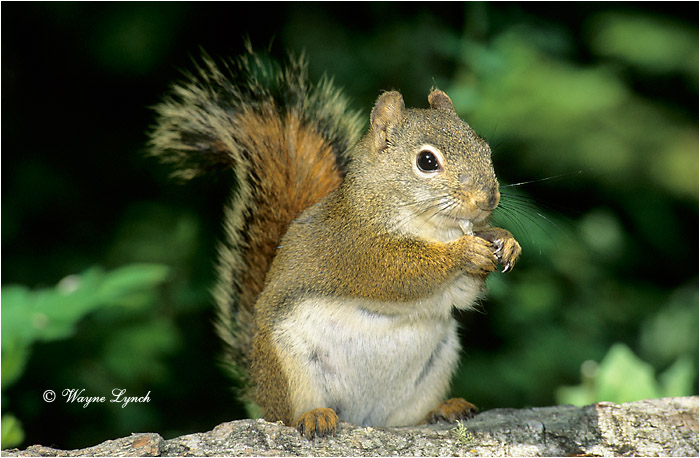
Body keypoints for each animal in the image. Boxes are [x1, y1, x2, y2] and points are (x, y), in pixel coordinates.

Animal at [148, 48, 521, 440]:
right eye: (427, 161)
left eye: (485, 148)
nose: (488, 199)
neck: (434, 228)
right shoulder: (354, 247)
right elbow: (399, 274)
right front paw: (464, 251)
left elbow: (461, 294)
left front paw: (504, 240)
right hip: (290, 368)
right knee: (293, 413)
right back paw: (314, 416)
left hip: (435, 366)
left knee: (408, 416)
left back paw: (444, 409)